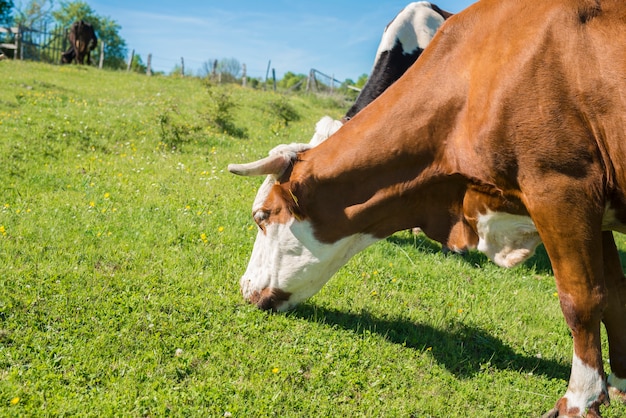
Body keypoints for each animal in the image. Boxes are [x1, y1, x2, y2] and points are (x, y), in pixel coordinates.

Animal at [228, 1, 624, 416]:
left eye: (261, 217)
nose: (243, 287)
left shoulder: (562, 187)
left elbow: (581, 298)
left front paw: (581, 397)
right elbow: (613, 293)